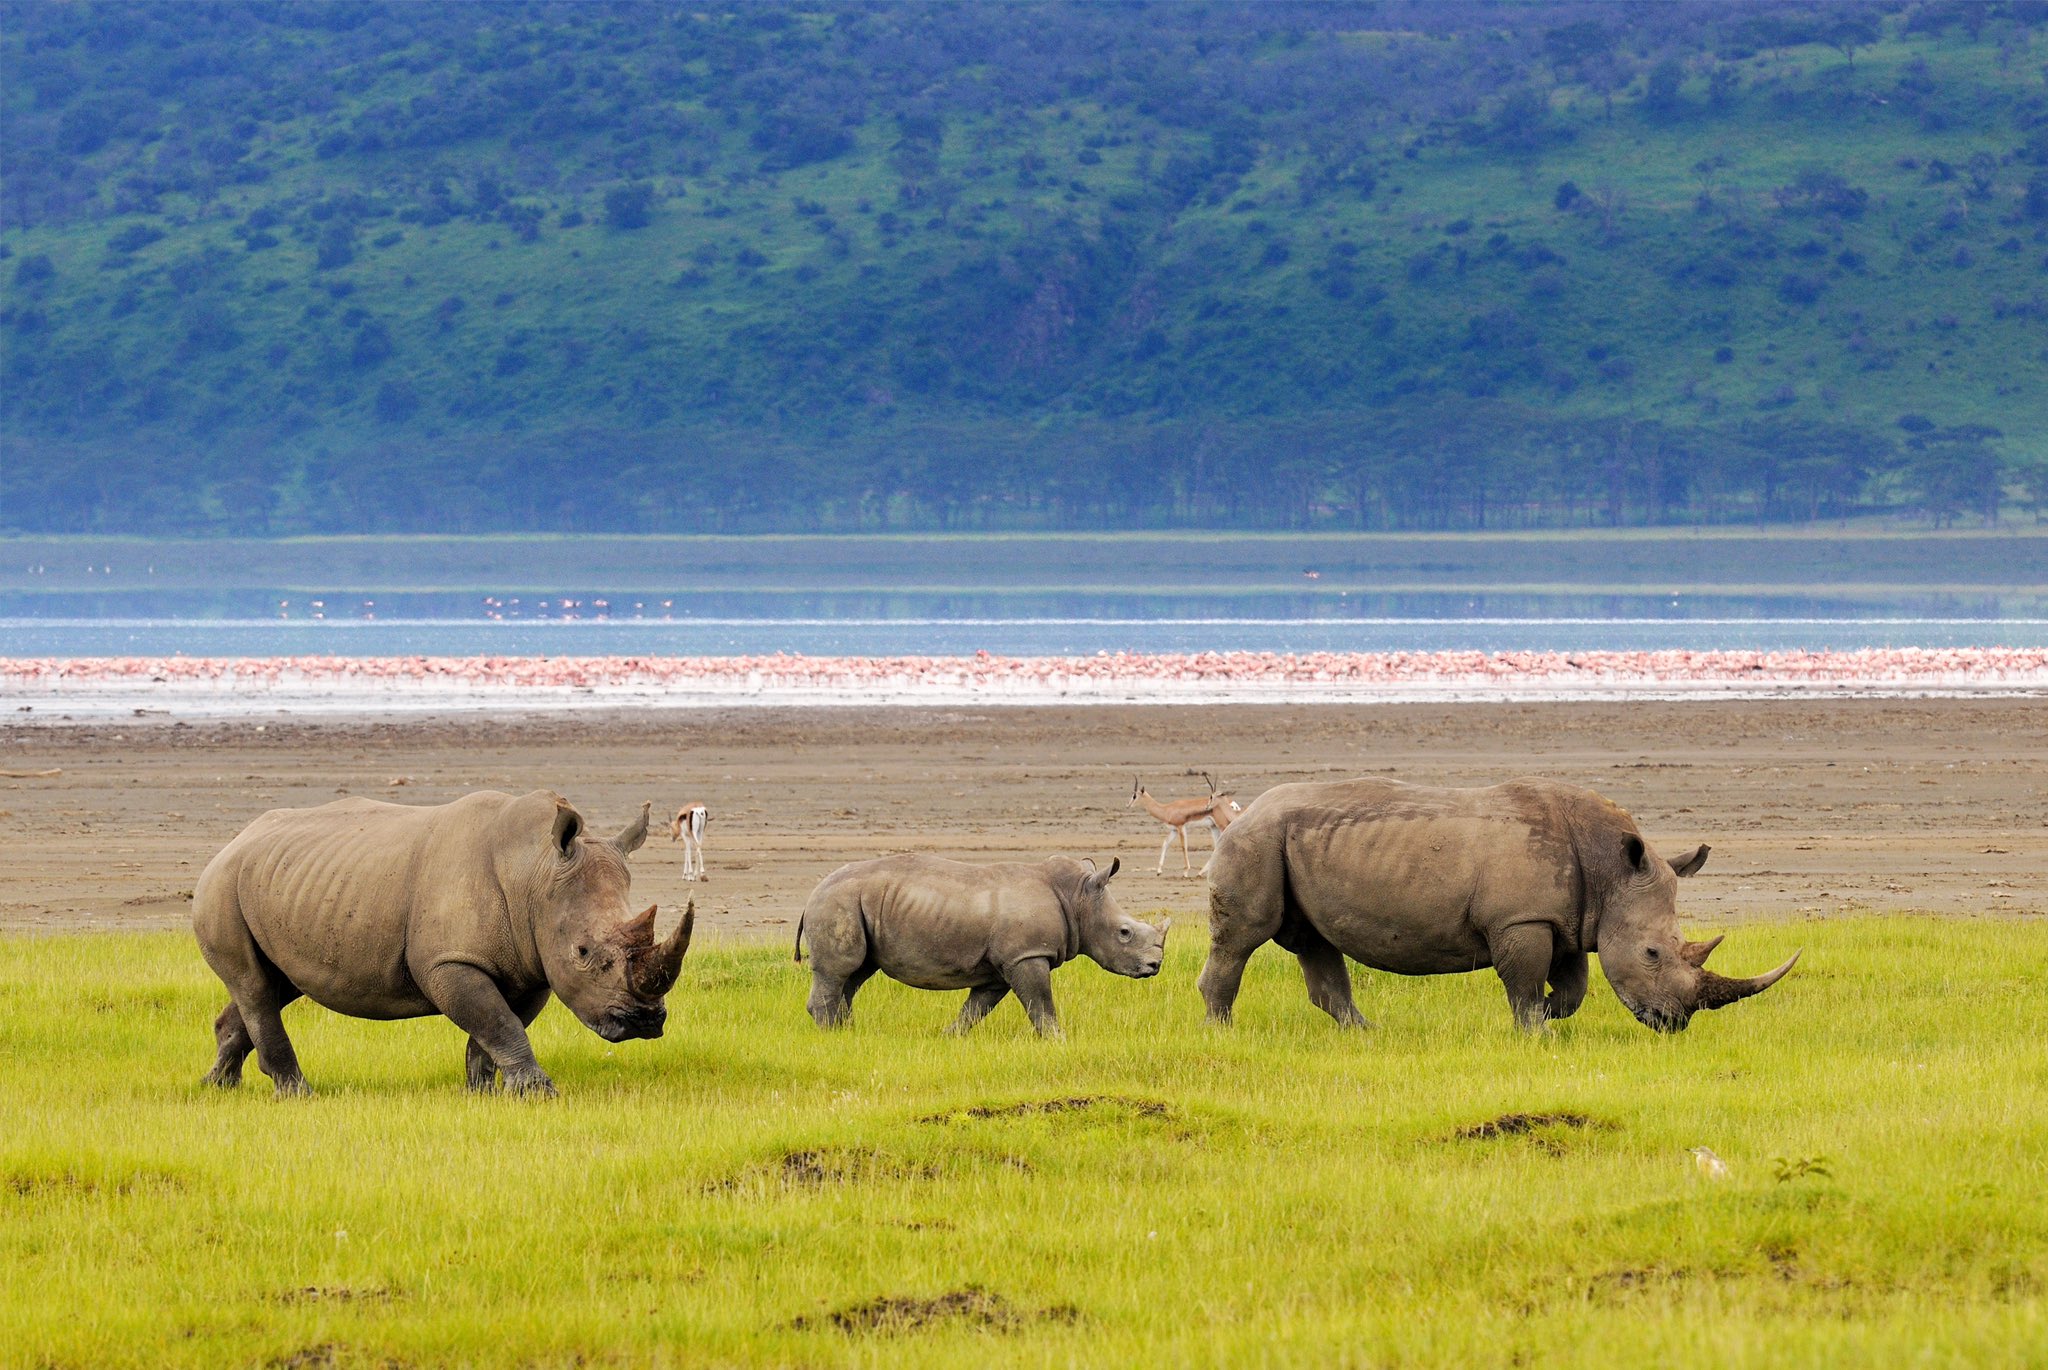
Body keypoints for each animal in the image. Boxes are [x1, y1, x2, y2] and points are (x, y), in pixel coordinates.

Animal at [193, 786, 688, 1097]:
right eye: (583, 953)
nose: (643, 1021)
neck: (534, 871)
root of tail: (234, 841)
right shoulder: (448, 963)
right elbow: (498, 1022)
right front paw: (539, 1093)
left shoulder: (532, 966)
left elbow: (495, 1027)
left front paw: (485, 1093)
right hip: (222, 885)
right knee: (255, 987)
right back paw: (296, 1093)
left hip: (284, 885)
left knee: (273, 985)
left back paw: (217, 1087)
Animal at [790, 847, 1163, 1032]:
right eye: (1124, 932)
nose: (1155, 966)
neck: (1077, 898)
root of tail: (810, 895)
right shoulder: (1027, 954)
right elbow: (1041, 1005)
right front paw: (1059, 1041)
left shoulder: (1001, 966)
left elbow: (975, 1009)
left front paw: (947, 1038)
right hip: (838, 902)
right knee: (839, 972)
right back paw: (833, 1036)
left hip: (854, 903)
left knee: (855, 974)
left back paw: (848, 1034)